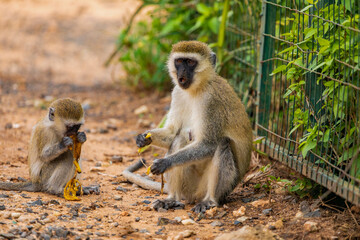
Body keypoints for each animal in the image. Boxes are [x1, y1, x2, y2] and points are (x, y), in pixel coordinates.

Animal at [136, 40, 253, 213]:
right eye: (179, 61)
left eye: (191, 62)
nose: (182, 73)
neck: (197, 89)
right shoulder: (177, 92)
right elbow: (172, 133)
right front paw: (144, 138)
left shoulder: (211, 100)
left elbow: (208, 144)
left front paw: (166, 162)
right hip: (189, 185)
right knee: (179, 138)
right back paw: (172, 198)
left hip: (212, 188)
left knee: (221, 143)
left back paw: (210, 200)